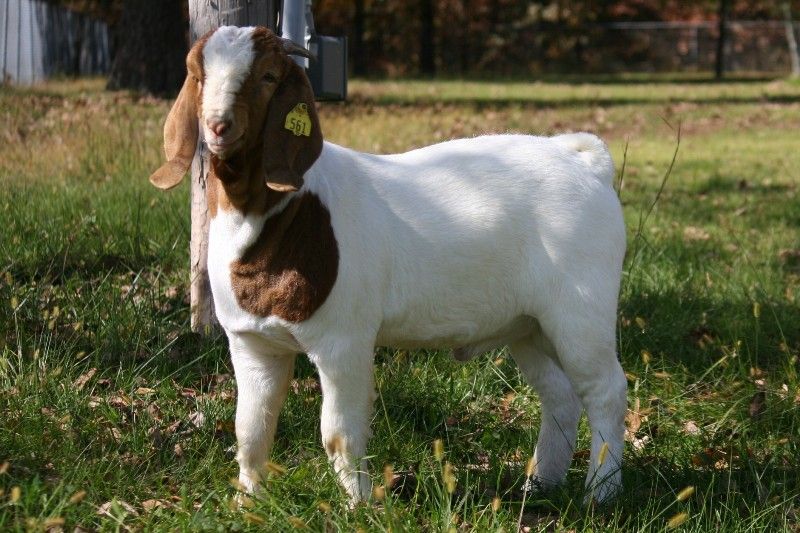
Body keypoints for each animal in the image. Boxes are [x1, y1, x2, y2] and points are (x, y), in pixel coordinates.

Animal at [149, 26, 628, 505]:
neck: (278, 213)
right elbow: (250, 428)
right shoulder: (250, 342)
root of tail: (582, 160)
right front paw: (248, 501)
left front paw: (358, 505)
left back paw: (600, 493)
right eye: (197, 74)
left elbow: (339, 432)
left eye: (268, 76)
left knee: (605, 389)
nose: (219, 126)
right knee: (560, 393)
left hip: (581, 307)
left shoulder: (343, 340)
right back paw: (541, 483)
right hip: (528, 324)